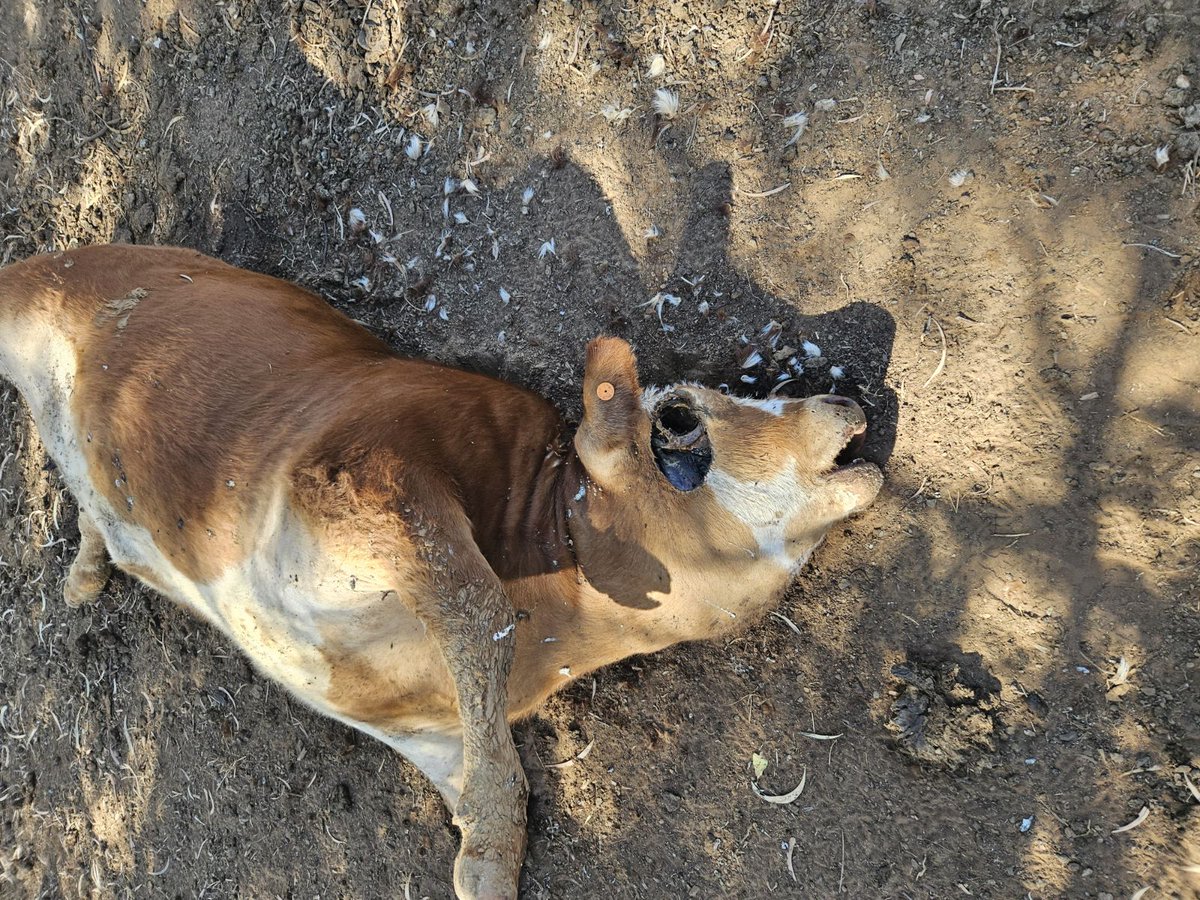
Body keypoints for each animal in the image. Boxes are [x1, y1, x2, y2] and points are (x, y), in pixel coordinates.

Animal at [0, 243, 883, 897]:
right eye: (678, 419)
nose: (846, 400)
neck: (564, 615)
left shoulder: (435, 732)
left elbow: (498, 779)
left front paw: (485, 857)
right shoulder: (360, 468)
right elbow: (478, 607)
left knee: (97, 514)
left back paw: (89, 567)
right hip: (30, 295)